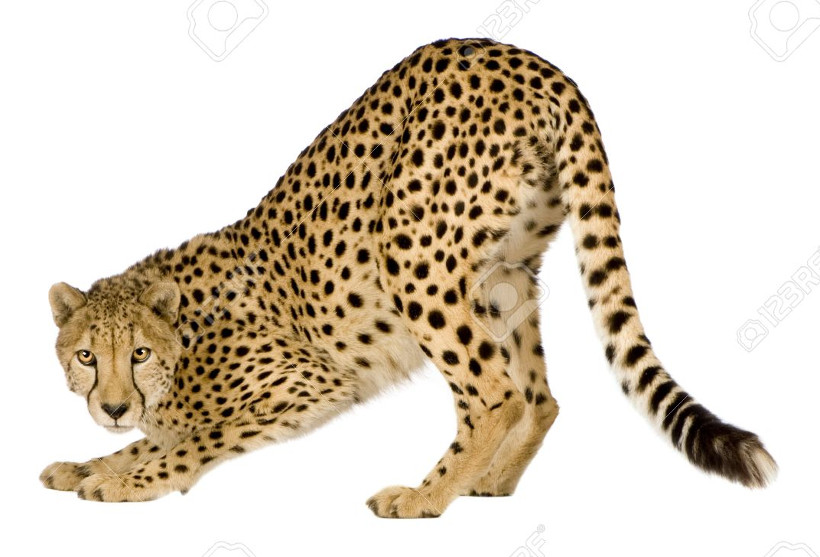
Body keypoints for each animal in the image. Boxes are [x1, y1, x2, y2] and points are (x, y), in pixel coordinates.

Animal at [41, 38, 777, 518]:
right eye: (86, 355)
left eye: (138, 353)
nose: (112, 407)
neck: (184, 336)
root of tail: (528, 60)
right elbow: (149, 438)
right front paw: (85, 465)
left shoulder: (310, 384)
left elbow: (193, 439)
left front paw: (129, 481)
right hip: (504, 273)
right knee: (538, 395)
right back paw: (490, 482)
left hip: (410, 254)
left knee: (495, 394)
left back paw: (426, 495)